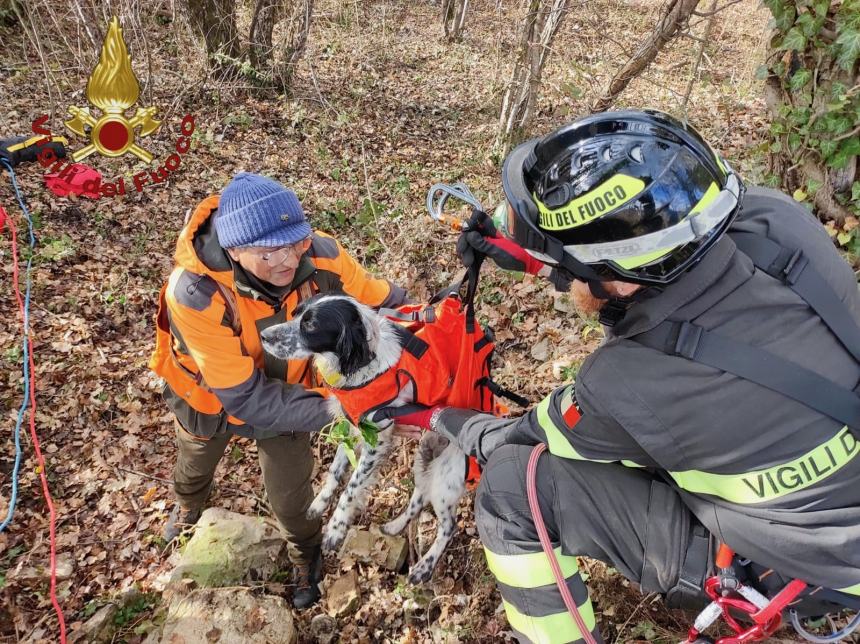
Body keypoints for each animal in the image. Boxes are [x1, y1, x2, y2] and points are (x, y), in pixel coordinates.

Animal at [260, 294, 470, 588]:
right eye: (296, 313)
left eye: (310, 325)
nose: (264, 336)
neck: (363, 365)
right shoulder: (350, 428)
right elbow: (335, 472)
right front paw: (319, 503)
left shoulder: (376, 441)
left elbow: (351, 488)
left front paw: (336, 529)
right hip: (426, 457)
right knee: (419, 497)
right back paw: (394, 526)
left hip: (446, 477)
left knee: (449, 526)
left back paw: (424, 567)